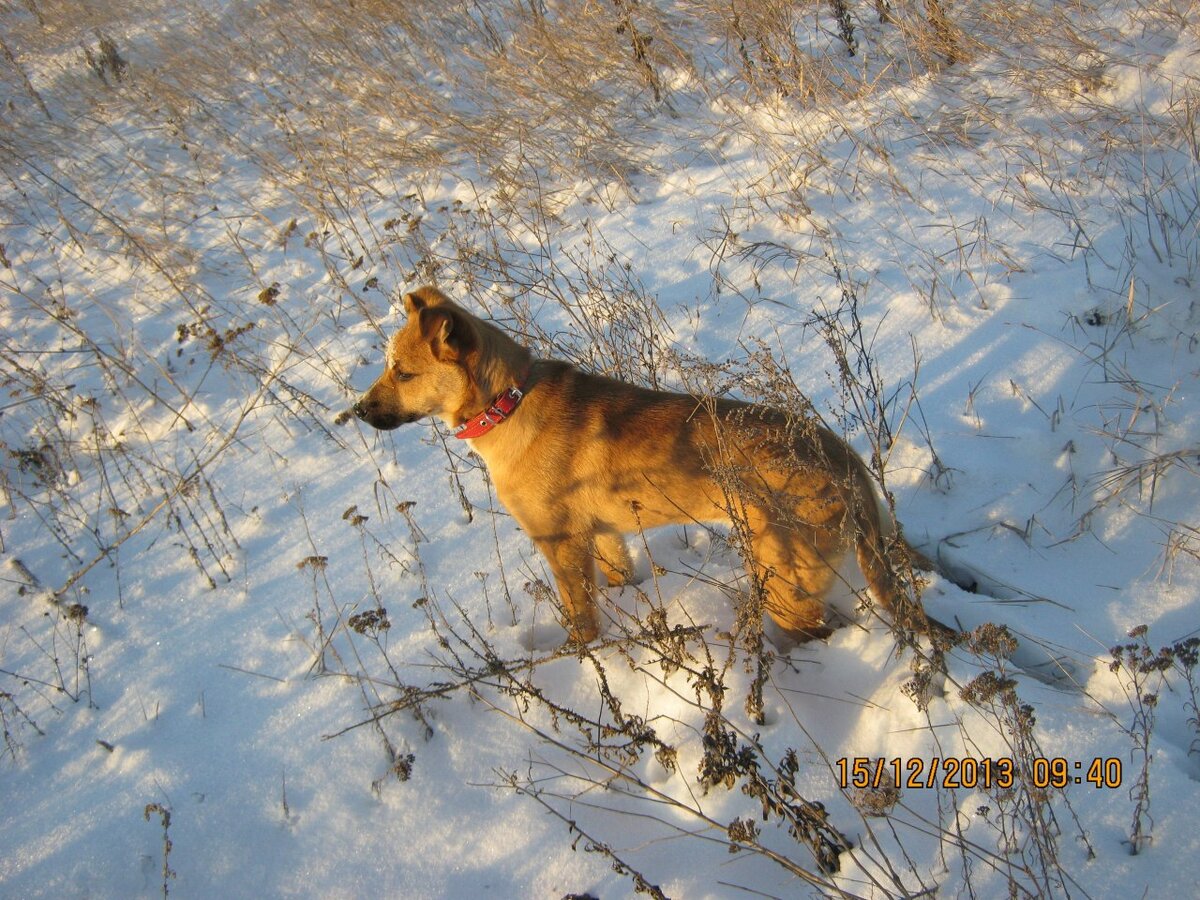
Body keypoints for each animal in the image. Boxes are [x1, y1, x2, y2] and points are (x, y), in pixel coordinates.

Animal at [350, 285, 940, 643]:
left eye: (403, 373)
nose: (357, 411)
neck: (507, 401)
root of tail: (845, 463)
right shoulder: (603, 536)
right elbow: (616, 578)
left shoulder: (560, 544)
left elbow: (581, 619)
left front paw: (581, 657)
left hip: (785, 578)